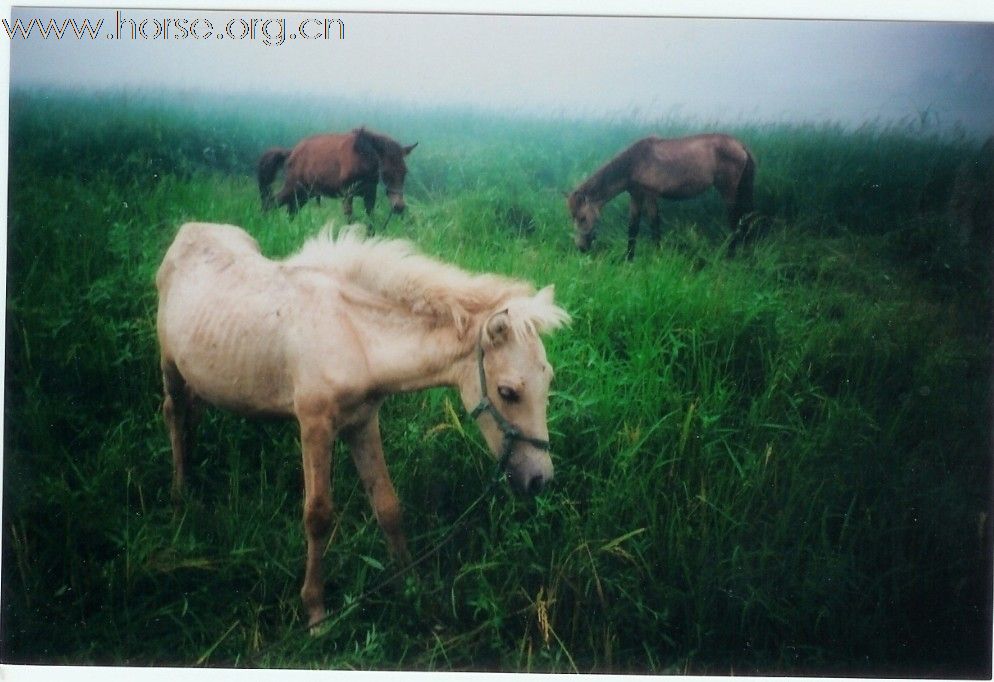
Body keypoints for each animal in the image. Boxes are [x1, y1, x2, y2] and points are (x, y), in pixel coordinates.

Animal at [158, 220, 568, 624]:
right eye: (508, 392)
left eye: (548, 380)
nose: (540, 480)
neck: (353, 335)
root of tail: (190, 228)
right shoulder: (315, 426)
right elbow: (318, 515)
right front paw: (316, 612)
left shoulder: (362, 423)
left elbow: (387, 505)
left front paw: (412, 588)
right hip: (169, 365)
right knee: (174, 413)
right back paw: (179, 494)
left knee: (193, 412)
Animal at [258, 127, 416, 223]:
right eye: (385, 172)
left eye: (405, 172)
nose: (399, 206)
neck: (361, 156)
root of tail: (291, 153)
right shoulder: (347, 194)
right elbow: (350, 220)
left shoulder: (370, 194)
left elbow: (371, 221)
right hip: (293, 188)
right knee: (270, 203)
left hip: (304, 194)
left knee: (291, 210)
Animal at [564, 132, 752, 258]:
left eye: (582, 217)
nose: (581, 247)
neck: (634, 162)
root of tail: (740, 145)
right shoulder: (636, 195)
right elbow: (633, 228)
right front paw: (629, 259)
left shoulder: (650, 196)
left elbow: (654, 225)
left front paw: (657, 255)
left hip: (728, 192)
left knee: (735, 223)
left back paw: (729, 256)